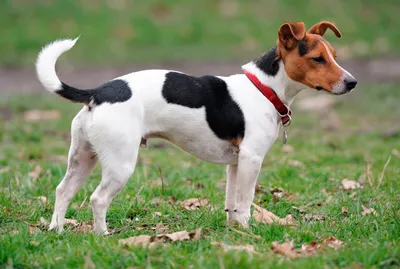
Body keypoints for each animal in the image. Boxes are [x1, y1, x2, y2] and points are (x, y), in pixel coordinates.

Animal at [36, 22, 358, 233]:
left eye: (334, 56)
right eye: (317, 59)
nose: (352, 82)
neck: (263, 88)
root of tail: (98, 92)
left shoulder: (235, 163)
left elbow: (232, 202)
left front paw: (233, 231)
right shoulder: (252, 159)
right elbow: (246, 201)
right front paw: (247, 232)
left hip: (82, 157)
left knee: (63, 191)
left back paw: (57, 230)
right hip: (120, 164)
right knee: (98, 199)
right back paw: (102, 236)